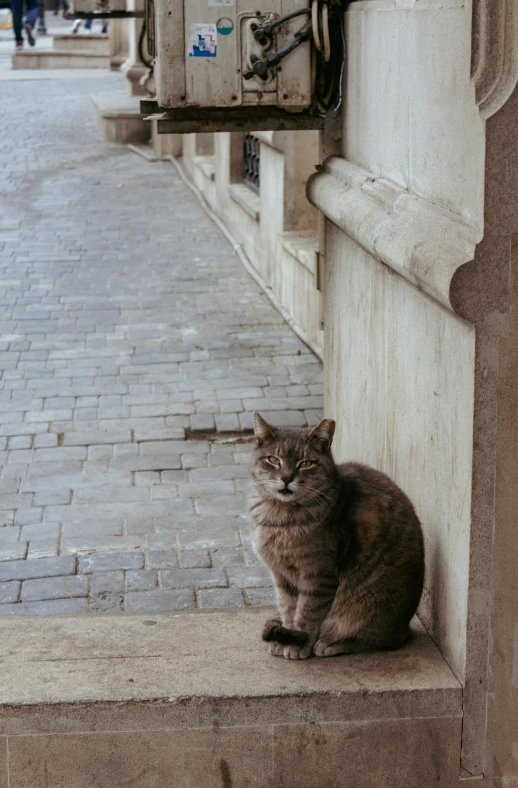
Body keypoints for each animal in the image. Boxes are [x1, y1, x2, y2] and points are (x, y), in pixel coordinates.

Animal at [250, 412, 424, 660]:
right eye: (273, 460)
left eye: (306, 463)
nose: (286, 478)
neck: (280, 519)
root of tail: (406, 627)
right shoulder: (281, 575)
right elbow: (288, 608)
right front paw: (285, 637)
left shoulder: (318, 573)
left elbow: (307, 613)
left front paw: (297, 644)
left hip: (365, 607)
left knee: (380, 637)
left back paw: (331, 643)